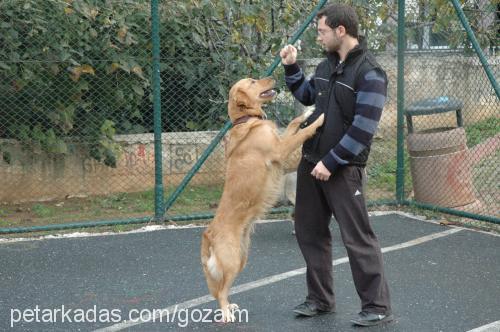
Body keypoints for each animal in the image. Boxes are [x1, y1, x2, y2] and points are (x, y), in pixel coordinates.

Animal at [200, 77, 324, 322]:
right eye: (252, 81)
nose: (275, 78)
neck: (247, 120)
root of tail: (208, 234)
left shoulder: (280, 141)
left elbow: (294, 123)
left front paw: (308, 112)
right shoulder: (280, 149)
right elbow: (302, 134)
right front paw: (319, 120)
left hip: (241, 259)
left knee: (222, 289)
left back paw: (230, 307)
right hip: (230, 261)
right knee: (220, 291)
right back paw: (226, 312)